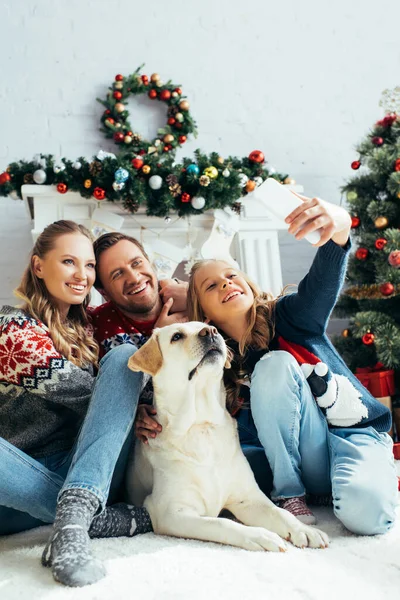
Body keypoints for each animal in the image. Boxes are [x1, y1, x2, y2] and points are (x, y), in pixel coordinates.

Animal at [126, 322, 330, 552]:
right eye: (176, 336)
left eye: (209, 327)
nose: (210, 332)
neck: (201, 425)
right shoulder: (169, 512)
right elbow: (221, 523)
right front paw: (260, 535)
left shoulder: (248, 498)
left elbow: (281, 513)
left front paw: (304, 530)